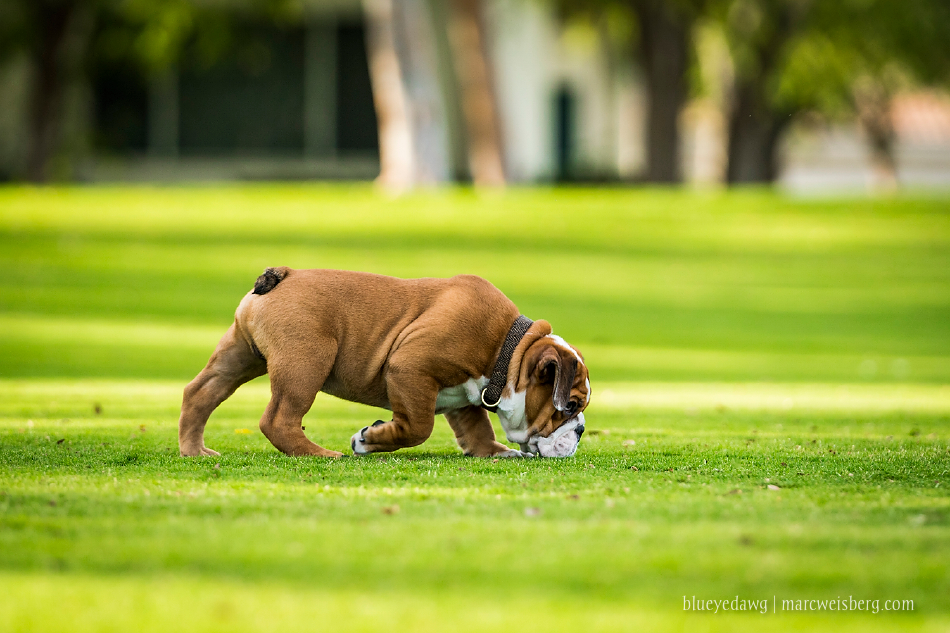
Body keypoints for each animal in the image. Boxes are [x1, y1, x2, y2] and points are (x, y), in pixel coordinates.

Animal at [178, 266, 592, 460]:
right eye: (570, 406)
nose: (580, 430)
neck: (507, 350)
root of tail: (284, 275)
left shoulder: (464, 394)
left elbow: (475, 425)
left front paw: (491, 451)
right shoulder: (410, 367)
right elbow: (418, 427)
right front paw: (369, 439)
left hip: (239, 356)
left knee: (199, 394)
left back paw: (194, 450)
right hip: (306, 363)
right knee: (278, 418)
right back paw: (319, 453)